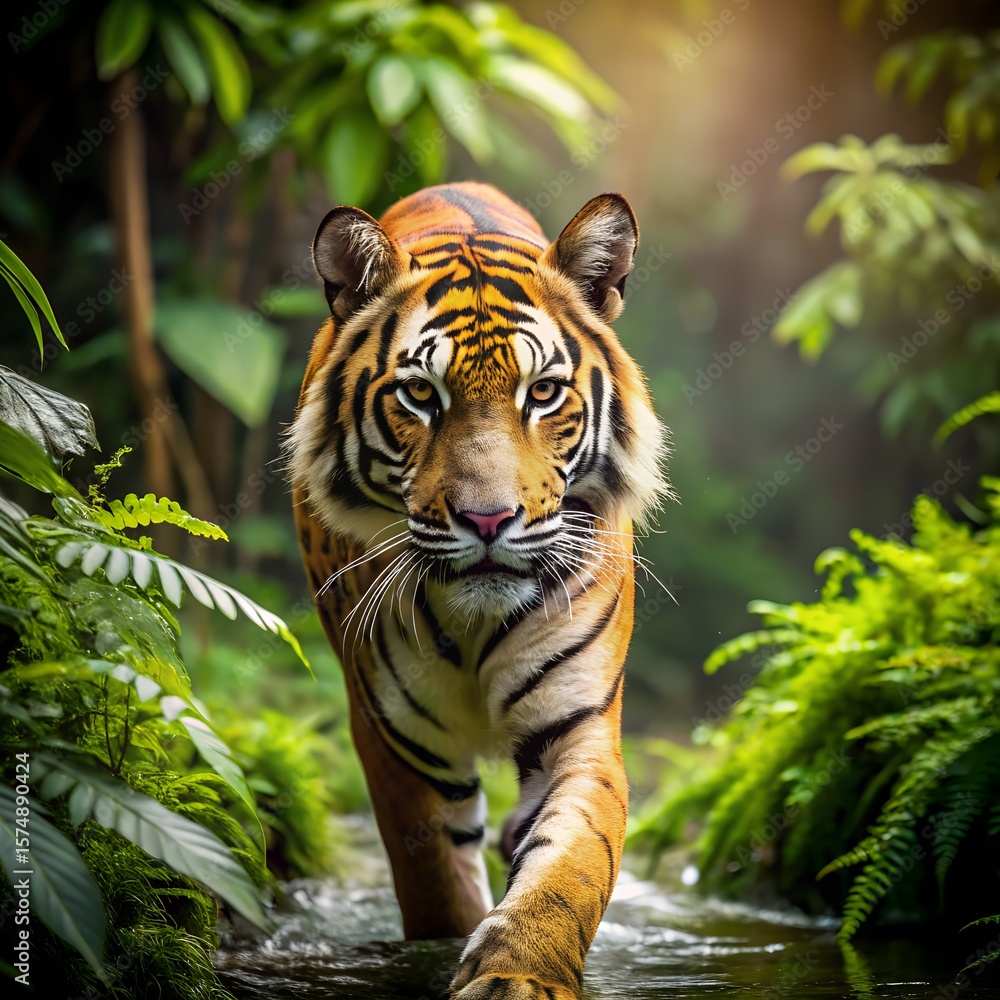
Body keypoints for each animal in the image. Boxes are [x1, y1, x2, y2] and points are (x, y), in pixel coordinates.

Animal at [287, 181, 668, 999]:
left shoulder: (578, 727)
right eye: (419, 395)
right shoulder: (396, 740)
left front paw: (519, 975)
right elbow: (437, 885)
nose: (489, 519)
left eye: (544, 393)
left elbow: (571, 864)